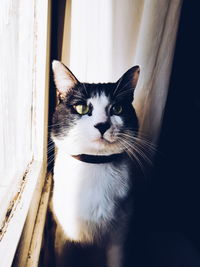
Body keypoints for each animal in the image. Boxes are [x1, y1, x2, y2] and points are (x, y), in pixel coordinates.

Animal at [49, 60, 140, 267]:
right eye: (81, 108)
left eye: (117, 109)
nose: (102, 125)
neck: (94, 165)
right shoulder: (63, 235)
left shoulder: (119, 235)